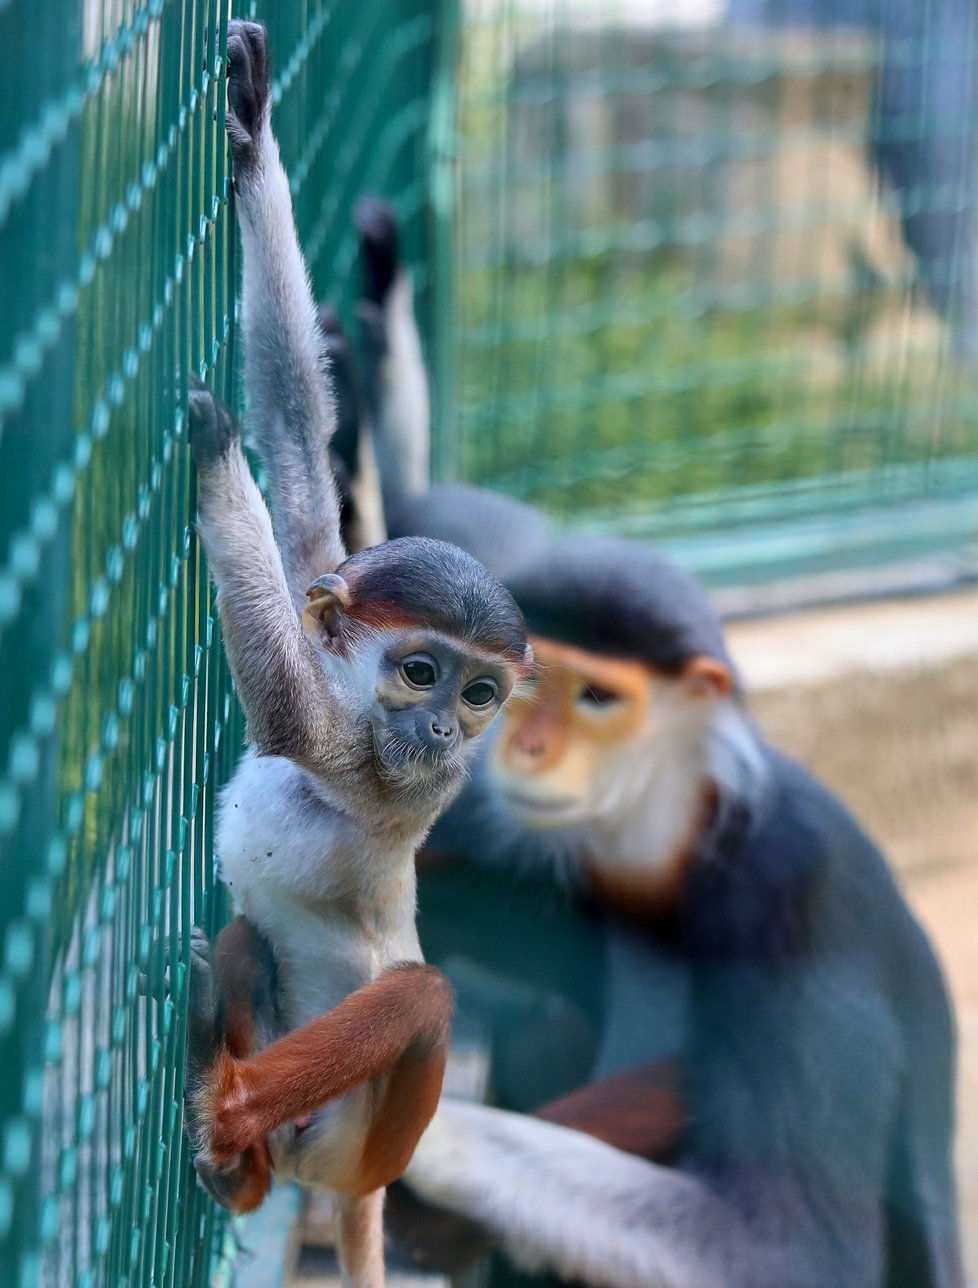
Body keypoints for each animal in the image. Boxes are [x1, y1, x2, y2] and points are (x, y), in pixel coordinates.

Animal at [184, 22, 530, 1288]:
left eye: (479, 696)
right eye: (424, 672)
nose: (437, 728)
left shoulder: (392, 775)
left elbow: (287, 711)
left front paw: (212, 457)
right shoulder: (332, 574)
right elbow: (299, 451)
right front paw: (252, 136)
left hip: (363, 1133)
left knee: (419, 994)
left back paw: (232, 1101)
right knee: (245, 938)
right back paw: (234, 1156)